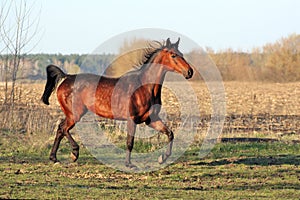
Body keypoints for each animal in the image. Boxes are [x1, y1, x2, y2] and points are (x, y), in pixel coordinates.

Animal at [41, 38, 193, 169]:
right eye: (173, 55)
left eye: (181, 54)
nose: (189, 72)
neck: (144, 87)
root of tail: (66, 77)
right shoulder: (132, 119)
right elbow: (130, 142)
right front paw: (129, 164)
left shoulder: (151, 119)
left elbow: (170, 133)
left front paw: (162, 158)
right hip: (75, 114)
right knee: (63, 128)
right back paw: (74, 153)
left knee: (60, 129)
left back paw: (54, 158)